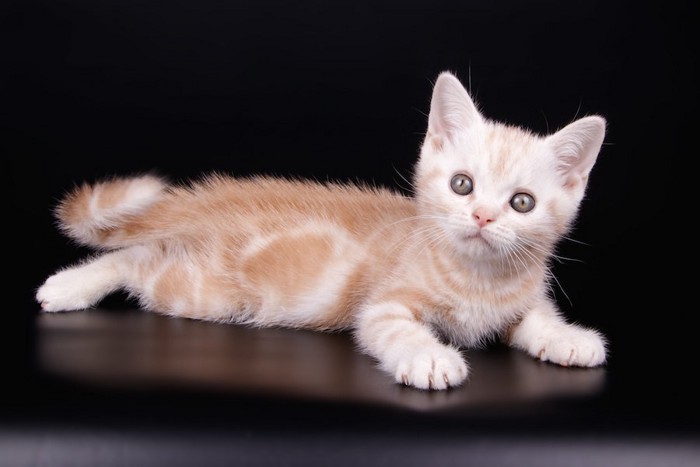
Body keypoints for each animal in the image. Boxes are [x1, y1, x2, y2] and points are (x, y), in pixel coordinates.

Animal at [37, 70, 608, 392]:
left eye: (521, 202)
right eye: (462, 184)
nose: (483, 217)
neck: (479, 280)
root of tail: (218, 200)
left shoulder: (523, 298)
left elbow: (536, 317)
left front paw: (569, 339)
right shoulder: (383, 304)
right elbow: (395, 328)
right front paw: (430, 357)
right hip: (203, 292)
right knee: (136, 259)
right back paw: (66, 287)